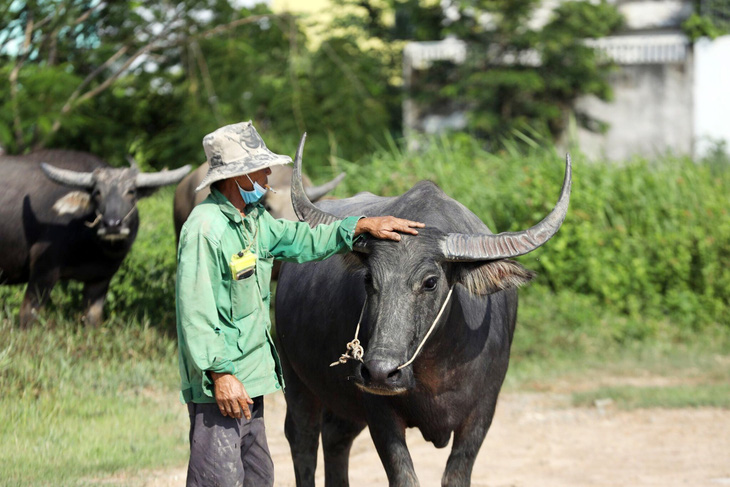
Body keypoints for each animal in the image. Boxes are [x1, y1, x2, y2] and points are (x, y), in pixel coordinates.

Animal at [0, 151, 191, 330]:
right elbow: (28, 315)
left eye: (131, 192)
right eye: (97, 193)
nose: (112, 225)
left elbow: (93, 319)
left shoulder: (100, 279)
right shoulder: (43, 271)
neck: (91, 248)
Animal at [272, 136, 568, 487]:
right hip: (295, 378)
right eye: (369, 279)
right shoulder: (379, 412)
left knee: (335, 437)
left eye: (430, 282)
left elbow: (457, 475)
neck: (436, 365)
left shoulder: (482, 412)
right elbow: (404, 477)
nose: (381, 371)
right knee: (302, 439)